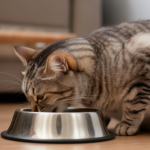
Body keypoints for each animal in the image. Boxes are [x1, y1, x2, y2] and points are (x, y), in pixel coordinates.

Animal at [14, 20, 150, 135]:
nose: (33, 111)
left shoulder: (142, 78)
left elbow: (133, 105)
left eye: (41, 96)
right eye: (27, 96)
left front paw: (127, 124)